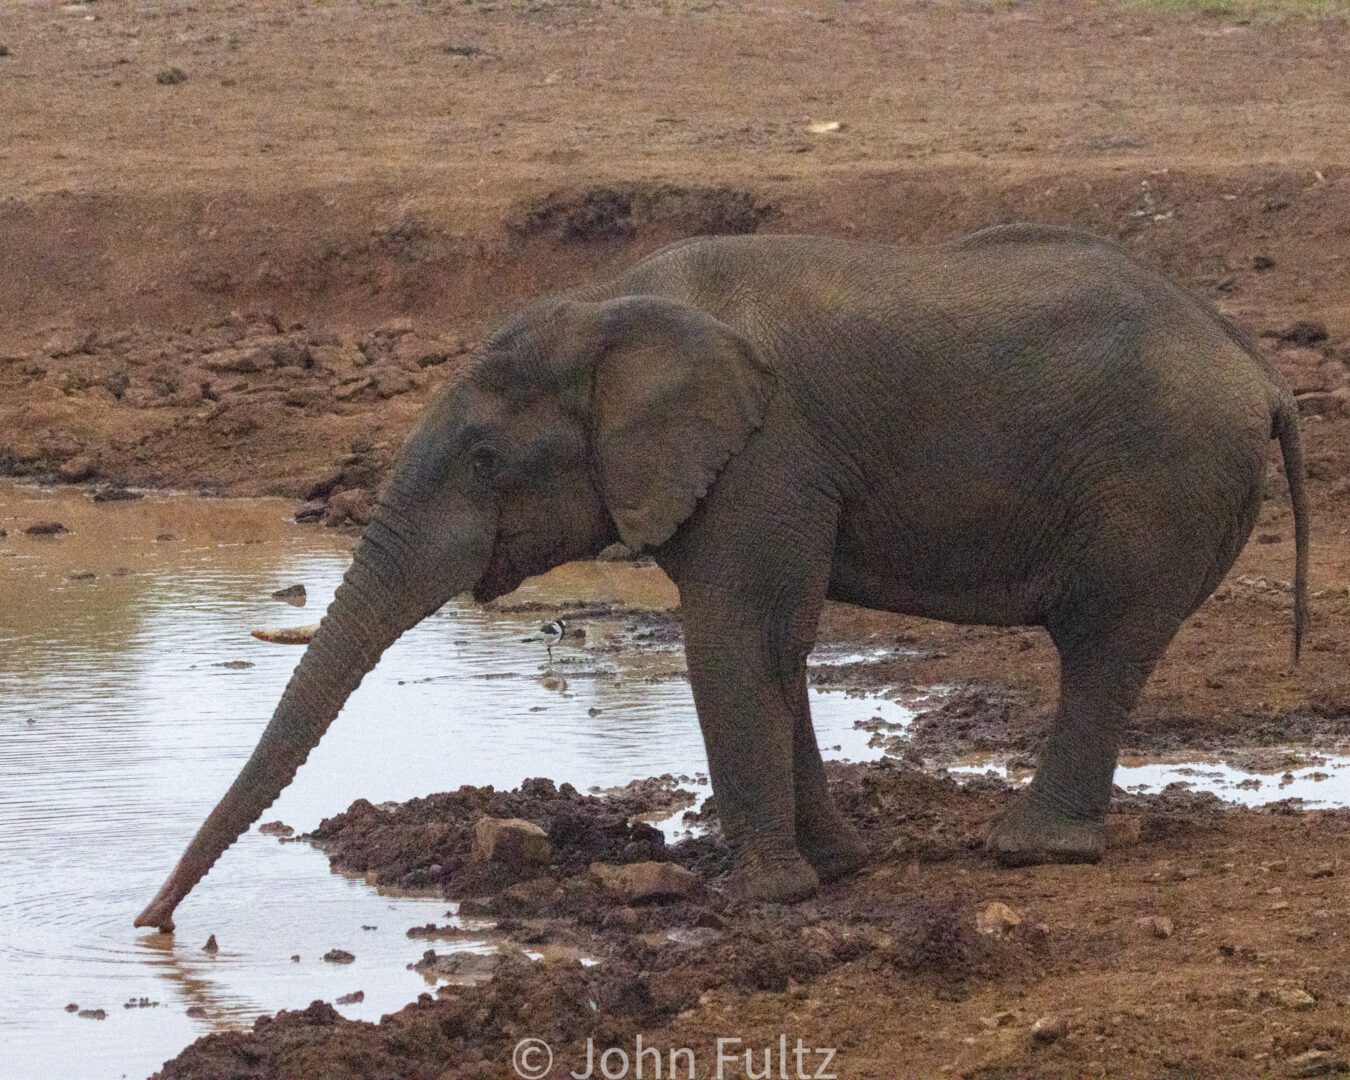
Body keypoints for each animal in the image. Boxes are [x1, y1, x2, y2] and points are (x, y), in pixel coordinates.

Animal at [134, 225, 1306, 928]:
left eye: (486, 462)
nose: (150, 926)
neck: (613, 306)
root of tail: (1258, 369)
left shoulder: (767, 454)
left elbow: (734, 637)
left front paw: (765, 900)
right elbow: (776, 649)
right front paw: (836, 869)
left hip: (1157, 482)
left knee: (1101, 645)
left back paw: (1027, 852)